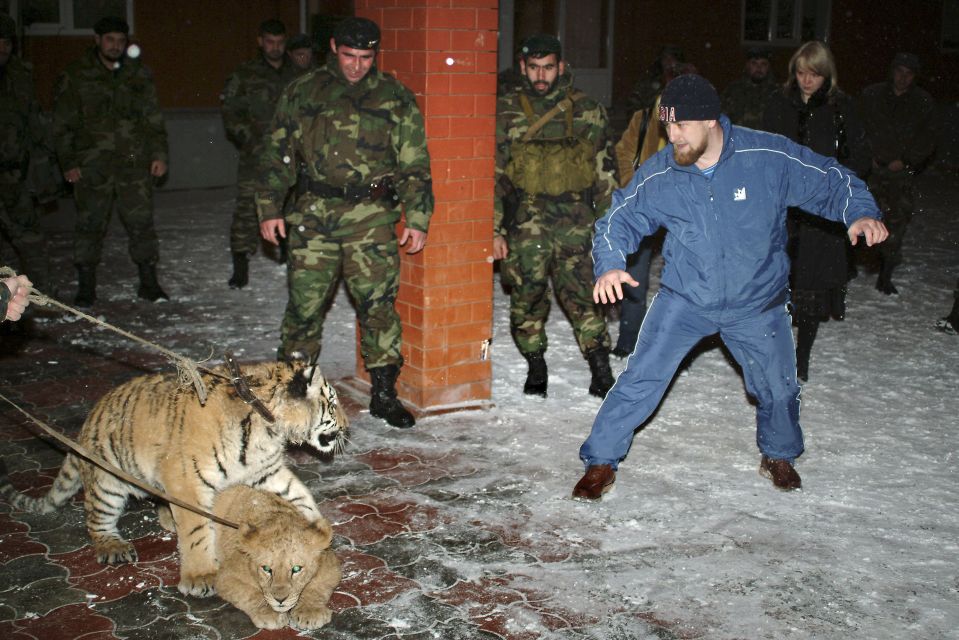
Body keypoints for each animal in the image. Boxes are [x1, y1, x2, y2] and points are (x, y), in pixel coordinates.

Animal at [0, 358, 350, 596]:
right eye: (332, 403)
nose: (349, 427)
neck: (268, 426)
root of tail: (86, 427)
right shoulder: (187, 480)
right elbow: (196, 532)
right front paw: (200, 578)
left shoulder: (267, 471)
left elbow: (300, 495)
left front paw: (317, 532)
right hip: (107, 484)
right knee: (95, 521)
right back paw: (113, 547)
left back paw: (166, 518)